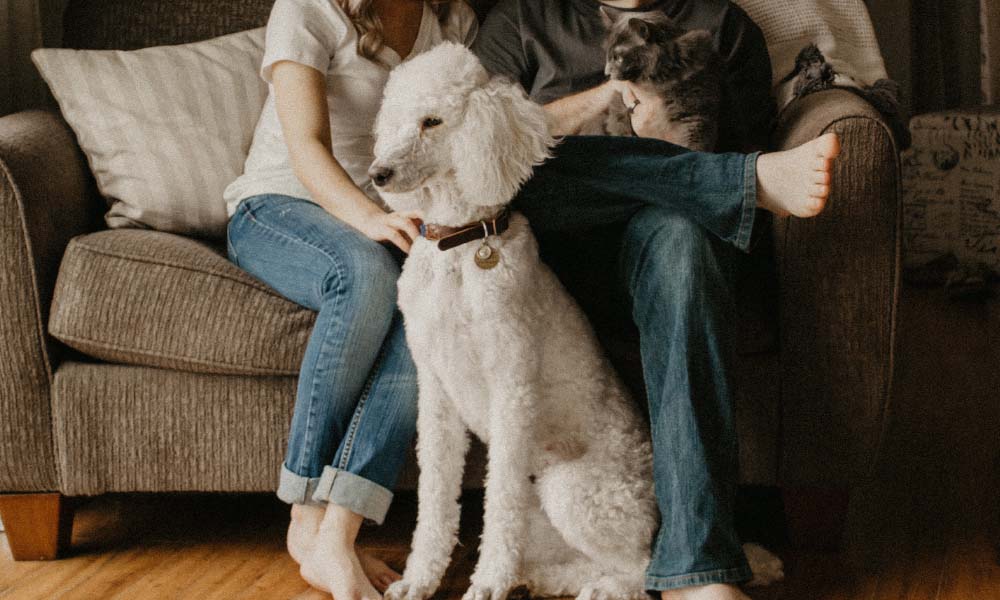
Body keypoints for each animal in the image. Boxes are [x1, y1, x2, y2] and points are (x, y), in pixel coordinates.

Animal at [596, 9, 724, 151]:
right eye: (608, 55)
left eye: (619, 58)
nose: (606, 72)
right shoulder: (618, 102)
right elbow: (619, 123)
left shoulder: (695, 116)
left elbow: (693, 146)